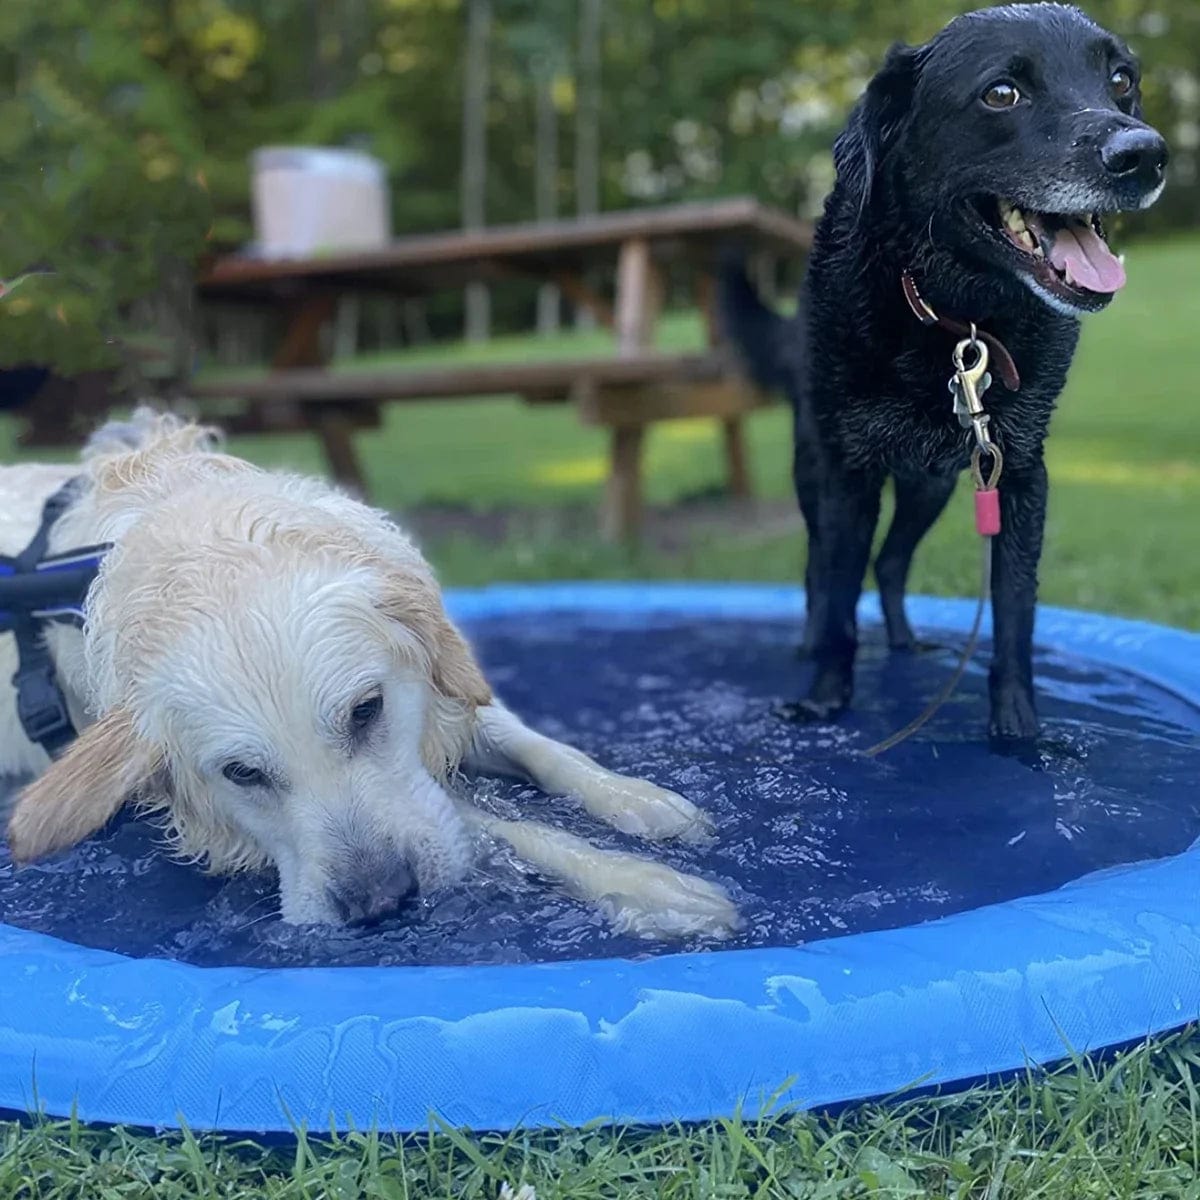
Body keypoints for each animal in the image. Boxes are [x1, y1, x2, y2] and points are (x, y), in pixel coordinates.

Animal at [2, 412, 739, 936]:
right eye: (241, 773)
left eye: (365, 710)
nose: (379, 900)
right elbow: (506, 828)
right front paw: (646, 886)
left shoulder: (440, 691)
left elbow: (544, 749)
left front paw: (639, 801)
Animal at [720, 4, 1161, 739]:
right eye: (1002, 93)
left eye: (1121, 79)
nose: (1146, 154)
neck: (958, 318)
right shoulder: (847, 475)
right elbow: (837, 596)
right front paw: (826, 700)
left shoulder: (1019, 474)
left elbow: (1014, 611)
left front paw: (1019, 731)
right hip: (816, 468)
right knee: (821, 570)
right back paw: (811, 647)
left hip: (930, 486)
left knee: (892, 561)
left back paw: (904, 641)